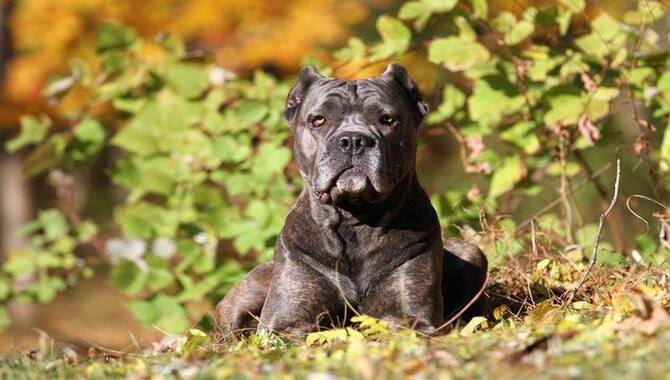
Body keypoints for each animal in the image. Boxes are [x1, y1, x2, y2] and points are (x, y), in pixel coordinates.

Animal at [215, 63, 488, 336]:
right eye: (318, 120)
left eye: (388, 120)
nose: (354, 140)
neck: (353, 220)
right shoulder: (285, 321)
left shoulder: (413, 317)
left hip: (471, 252)